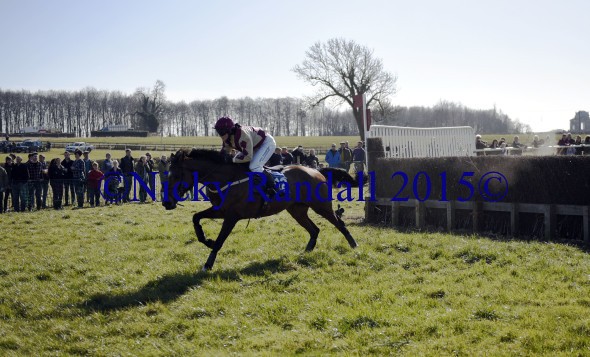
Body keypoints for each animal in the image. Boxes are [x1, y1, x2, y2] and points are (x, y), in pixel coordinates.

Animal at [161, 148, 360, 270]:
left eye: (176, 175)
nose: (166, 203)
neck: (225, 178)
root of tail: (317, 171)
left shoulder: (232, 216)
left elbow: (220, 241)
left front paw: (208, 264)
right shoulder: (220, 210)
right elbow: (196, 218)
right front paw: (206, 240)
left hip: (321, 206)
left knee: (339, 223)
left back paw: (354, 245)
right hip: (296, 210)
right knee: (314, 229)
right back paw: (307, 251)